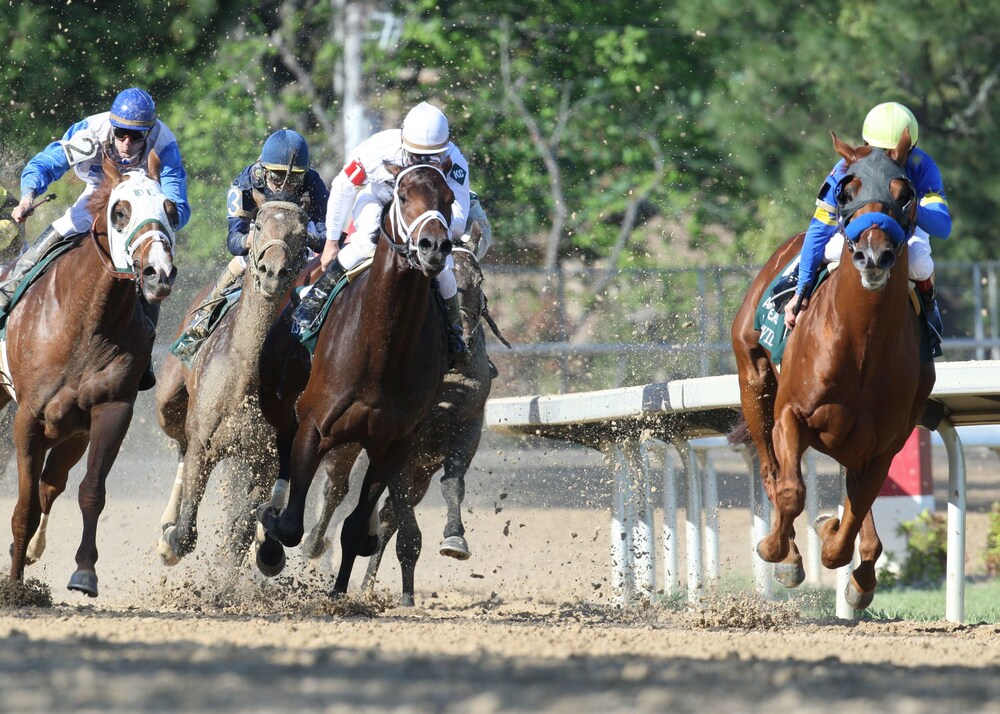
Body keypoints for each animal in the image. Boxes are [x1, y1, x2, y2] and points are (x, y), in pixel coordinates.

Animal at [0, 150, 176, 596]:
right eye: (120, 211)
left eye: (169, 209)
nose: (159, 272)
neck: (85, 322)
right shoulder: (27, 418)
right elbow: (24, 506)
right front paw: (15, 587)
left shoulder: (110, 410)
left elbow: (90, 490)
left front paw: (84, 572)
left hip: (71, 433)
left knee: (52, 484)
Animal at [152, 196, 306, 568]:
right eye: (259, 225)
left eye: (301, 233)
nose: (272, 273)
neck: (244, 380)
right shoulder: (203, 445)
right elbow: (186, 534)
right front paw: (171, 539)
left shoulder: (267, 459)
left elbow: (240, 534)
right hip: (169, 400)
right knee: (180, 446)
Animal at [256, 163, 456, 596]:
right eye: (402, 196)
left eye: (449, 198)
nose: (434, 246)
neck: (381, 351)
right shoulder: (315, 428)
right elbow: (291, 524)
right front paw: (270, 540)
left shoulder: (392, 445)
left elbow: (353, 528)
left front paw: (339, 594)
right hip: (277, 400)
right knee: (283, 449)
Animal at [294, 221, 508, 600]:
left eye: (479, 281)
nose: (465, 342)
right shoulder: (398, 445)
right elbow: (396, 514)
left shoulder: (463, 432)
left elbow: (452, 485)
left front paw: (455, 539)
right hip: (349, 445)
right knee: (335, 491)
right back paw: (314, 546)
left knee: (383, 514)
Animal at [732, 128, 932, 608]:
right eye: (847, 190)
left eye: (904, 193)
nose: (873, 256)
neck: (860, 345)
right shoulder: (790, 415)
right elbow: (790, 491)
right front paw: (780, 553)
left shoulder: (885, 444)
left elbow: (852, 519)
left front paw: (848, 561)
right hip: (755, 384)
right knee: (770, 472)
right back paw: (787, 551)